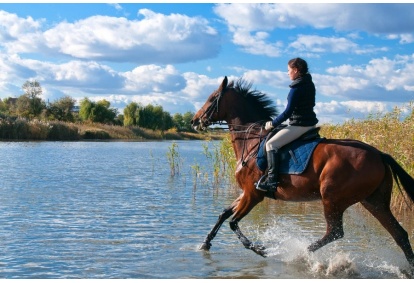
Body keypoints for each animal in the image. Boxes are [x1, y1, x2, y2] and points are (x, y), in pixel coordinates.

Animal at [191, 76, 414, 268]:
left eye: (211, 99)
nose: (194, 121)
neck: (251, 139)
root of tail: (379, 154)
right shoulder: (247, 191)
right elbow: (223, 214)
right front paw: (205, 244)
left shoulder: (254, 194)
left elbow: (233, 222)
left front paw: (261, 249)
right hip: (374, 201)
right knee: (400, 234)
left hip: (332, 199)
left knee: (335, 232)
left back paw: (299, 254)